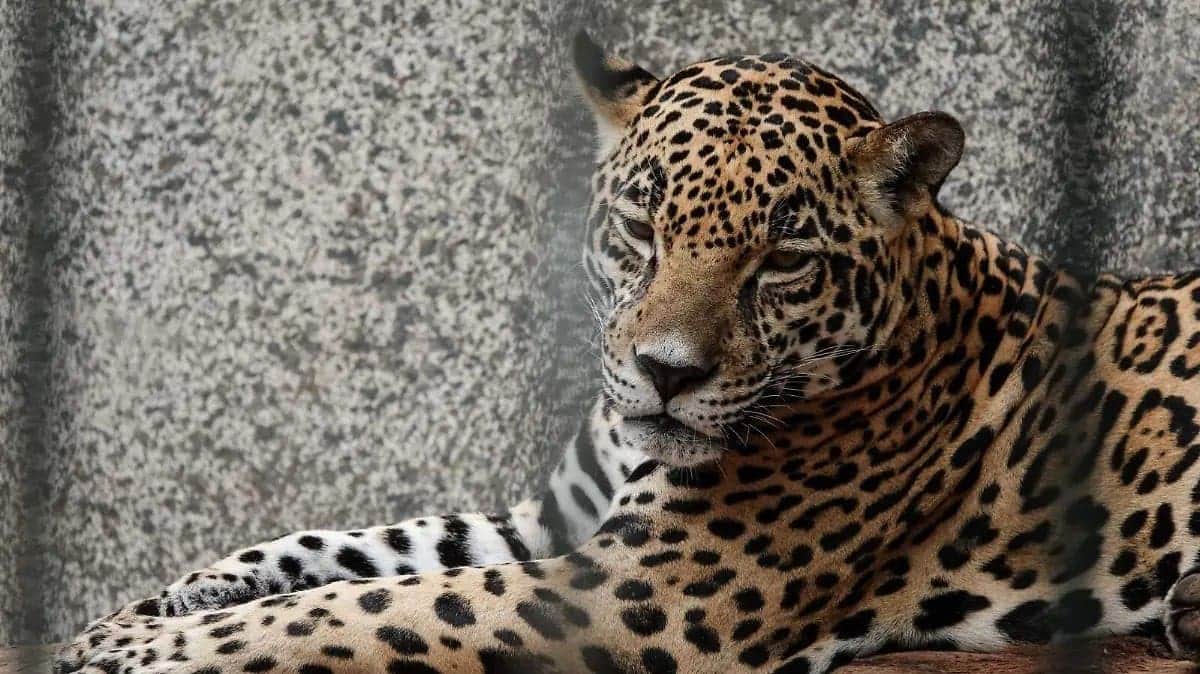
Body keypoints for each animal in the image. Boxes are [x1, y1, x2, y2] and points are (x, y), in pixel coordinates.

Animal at [56, 31, 1200, 673]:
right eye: (640, 231)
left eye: (785, 257)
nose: (667, 372)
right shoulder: (551, 520)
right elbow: (355, 544)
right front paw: (153, 601)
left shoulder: (636, 585)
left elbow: (349, 606)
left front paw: (127, 649)